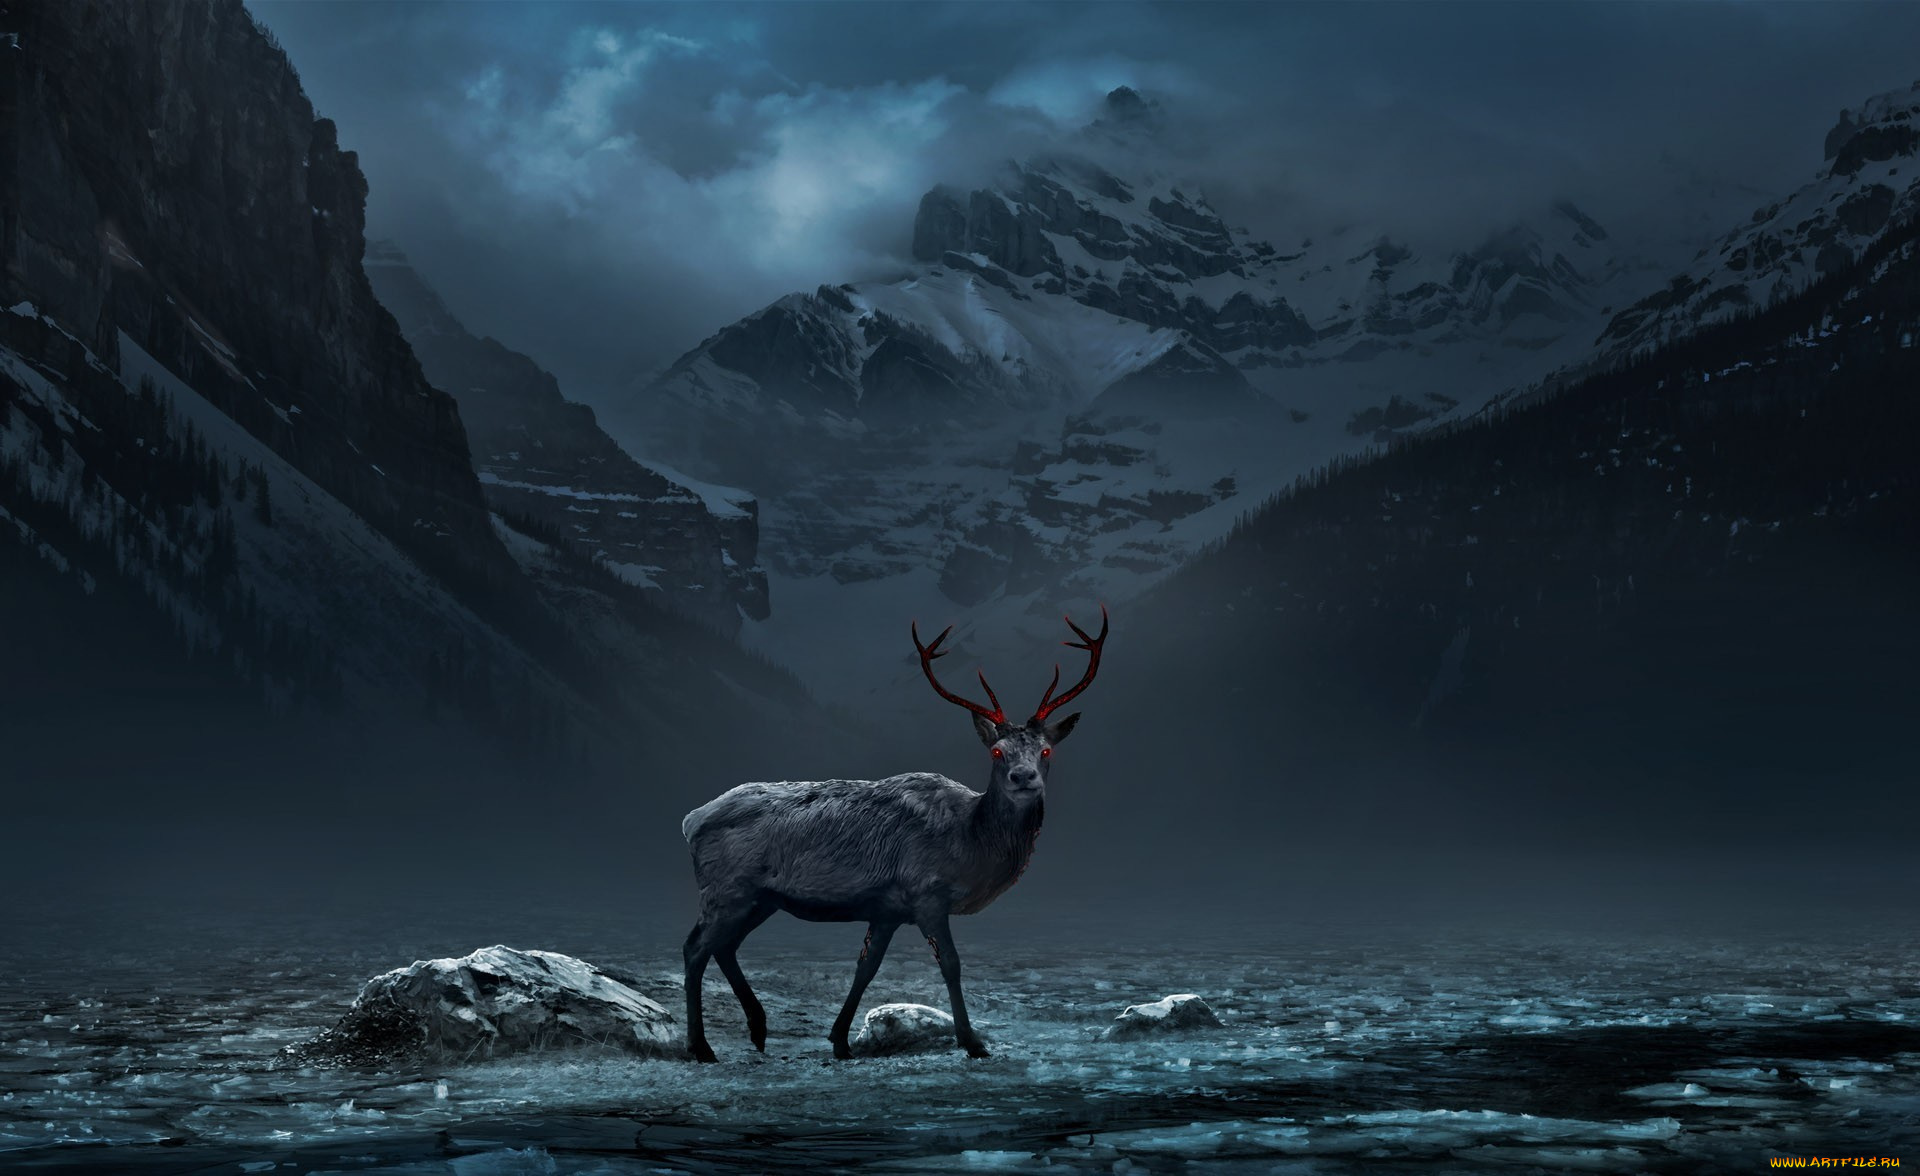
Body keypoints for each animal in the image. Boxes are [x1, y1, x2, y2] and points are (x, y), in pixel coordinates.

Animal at [679, 607, 1108, 1062]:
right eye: (997, 752)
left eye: (1046, 750)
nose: (1023, 776)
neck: (970, 843)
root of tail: (691, 820)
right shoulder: (927, 893)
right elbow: (951, 964)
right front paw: (973, 1042)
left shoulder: (886, 909)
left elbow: (866, 967)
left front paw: (840, 1040)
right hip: (726, 889)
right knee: (695, 948)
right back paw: (701, 1046)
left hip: (761, 898)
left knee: (725, 946)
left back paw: (758, 1028)